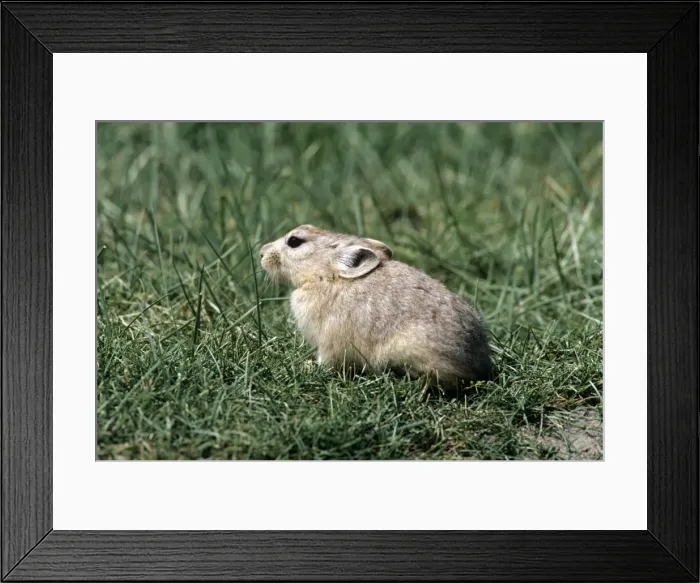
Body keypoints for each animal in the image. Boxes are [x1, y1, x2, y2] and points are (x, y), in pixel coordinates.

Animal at [260, 224, 492, 390]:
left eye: (294, 241)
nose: (262, 252)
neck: (327, 277)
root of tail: (477, 364)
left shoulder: (329, 342)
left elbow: (326, 361)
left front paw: (308, 367)